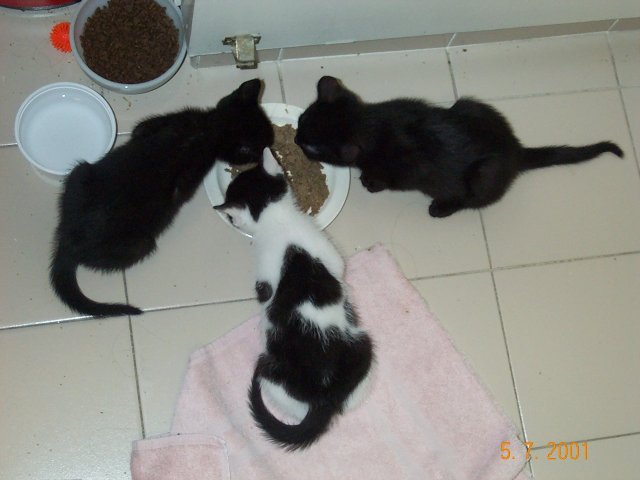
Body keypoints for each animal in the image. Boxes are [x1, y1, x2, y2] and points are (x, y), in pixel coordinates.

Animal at [50, 79, 274, 317]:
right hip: (141, 244)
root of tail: (68, 241)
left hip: (79, 173)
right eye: (260, 148)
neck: (208, 129)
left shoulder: (157, 123)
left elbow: (139, 129)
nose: (270, 152)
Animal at [214, 148, 374, 451]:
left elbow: (264, 295)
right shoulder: (325, 253)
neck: (277, 221)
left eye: (231, 218)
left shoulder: (265, 277)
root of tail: (324, 397)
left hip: (271, 373)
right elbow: (338, 269)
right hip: (363, 351)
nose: (228, 219)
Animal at [295, 75, 624, 218]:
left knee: (475, 200)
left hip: (484, 173)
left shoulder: (402, 171)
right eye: (300, 121)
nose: (296, 140)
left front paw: (369, 182)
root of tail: (516, 150)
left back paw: (441, 208)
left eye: (311, 147)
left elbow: (384, 179)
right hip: (471, 104)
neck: (372, 122)